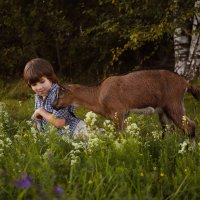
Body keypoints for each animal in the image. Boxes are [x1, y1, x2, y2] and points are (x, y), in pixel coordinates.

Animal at [52, 69, 200, 138]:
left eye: (61, 93)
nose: (54, 105)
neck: (98, 96)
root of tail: (185, 83)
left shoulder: (118, 112)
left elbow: (121, 135)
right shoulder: (124, 114)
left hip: (173, 103)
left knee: (190, 126)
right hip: (163, 109)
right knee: (169, 130)